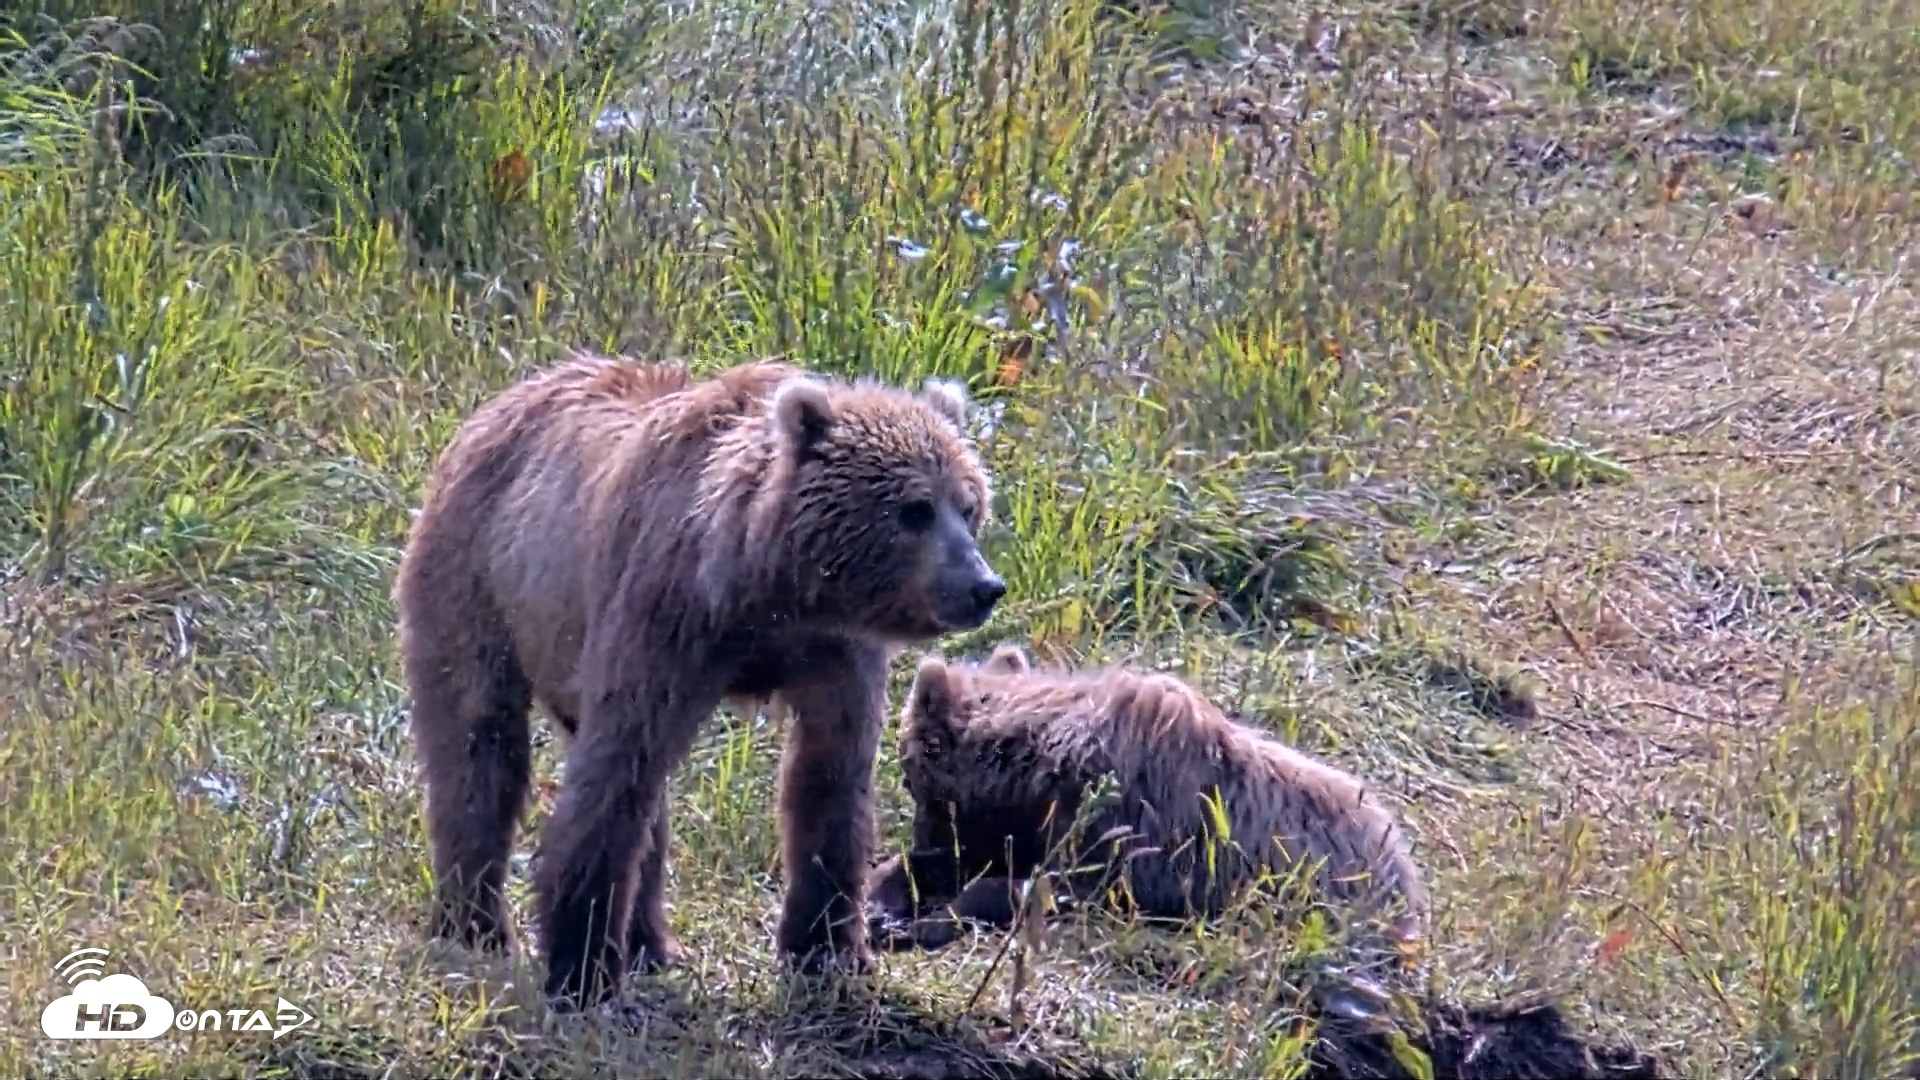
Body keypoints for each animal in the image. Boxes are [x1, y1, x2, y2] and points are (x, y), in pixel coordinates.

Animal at [394, 351, 1006, 1008]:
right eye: (914, 509)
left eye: (969, 505)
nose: (983, 586)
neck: (765, 585)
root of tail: (500, 403)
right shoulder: (665, 618)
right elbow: (616, 771)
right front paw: (583, 969)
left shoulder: (833, 650)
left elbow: (829, 777)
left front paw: (827, 951)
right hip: (480, 579)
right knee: (478, 746)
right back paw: (473, 926)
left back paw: (648, 943)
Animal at [867, 645, 1428, 967]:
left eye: (914, 781)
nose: (925, 840)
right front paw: (883, 900)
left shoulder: (1133, 837)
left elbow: (1041, 888)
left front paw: (927, 919)